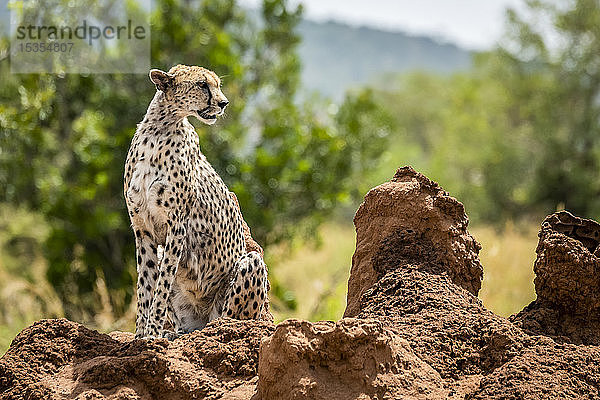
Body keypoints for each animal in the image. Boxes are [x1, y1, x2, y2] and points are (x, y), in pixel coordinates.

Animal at [124, 64, 268, 340]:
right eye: (202, 84)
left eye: (217, 84)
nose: (223, 103)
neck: (160, 128)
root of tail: (201, 322)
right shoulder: (142, 229)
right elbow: (145, 285)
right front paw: (139, 335)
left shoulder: (177, 225)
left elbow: (161, 285)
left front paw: (152, 333)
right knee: (186, 326)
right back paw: (176, 334)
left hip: (250, 265)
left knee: (229, 320)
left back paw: (216, 329)